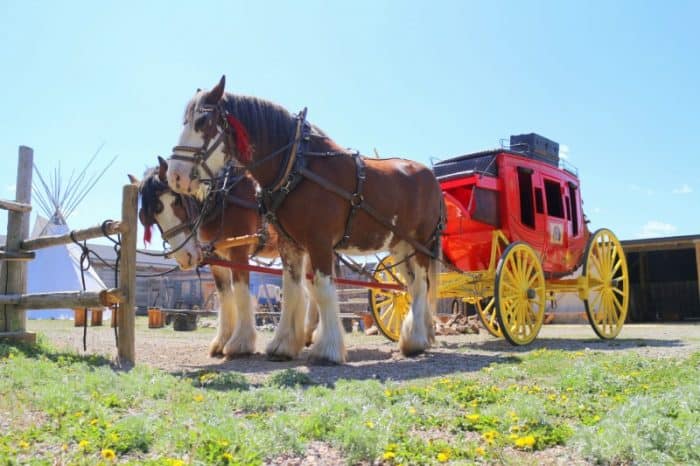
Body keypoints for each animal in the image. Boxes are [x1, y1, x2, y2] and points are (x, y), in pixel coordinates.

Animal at [131, 158, 320, 358]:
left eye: (177, 200)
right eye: (150, 217)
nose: (184, 257)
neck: (223, 197)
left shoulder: (239, 250)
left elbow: (240, 292)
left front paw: (241, 343)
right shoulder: (216, 254)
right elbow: (224, 294)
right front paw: (222, 341)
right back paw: (307, 334)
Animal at [168, 76, 442, 366]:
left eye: (202, 122)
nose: (175, 175)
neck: (296, 167)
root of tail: (430, 176)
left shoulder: (319, 241)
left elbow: (321, 289)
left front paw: (328, 349)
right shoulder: (289, 243)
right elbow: (291, 290)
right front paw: (283, 345)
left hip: (422, 244)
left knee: (421, 286)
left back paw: (415, 341)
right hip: (400, 245)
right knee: (411, 286)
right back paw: (421, 335)